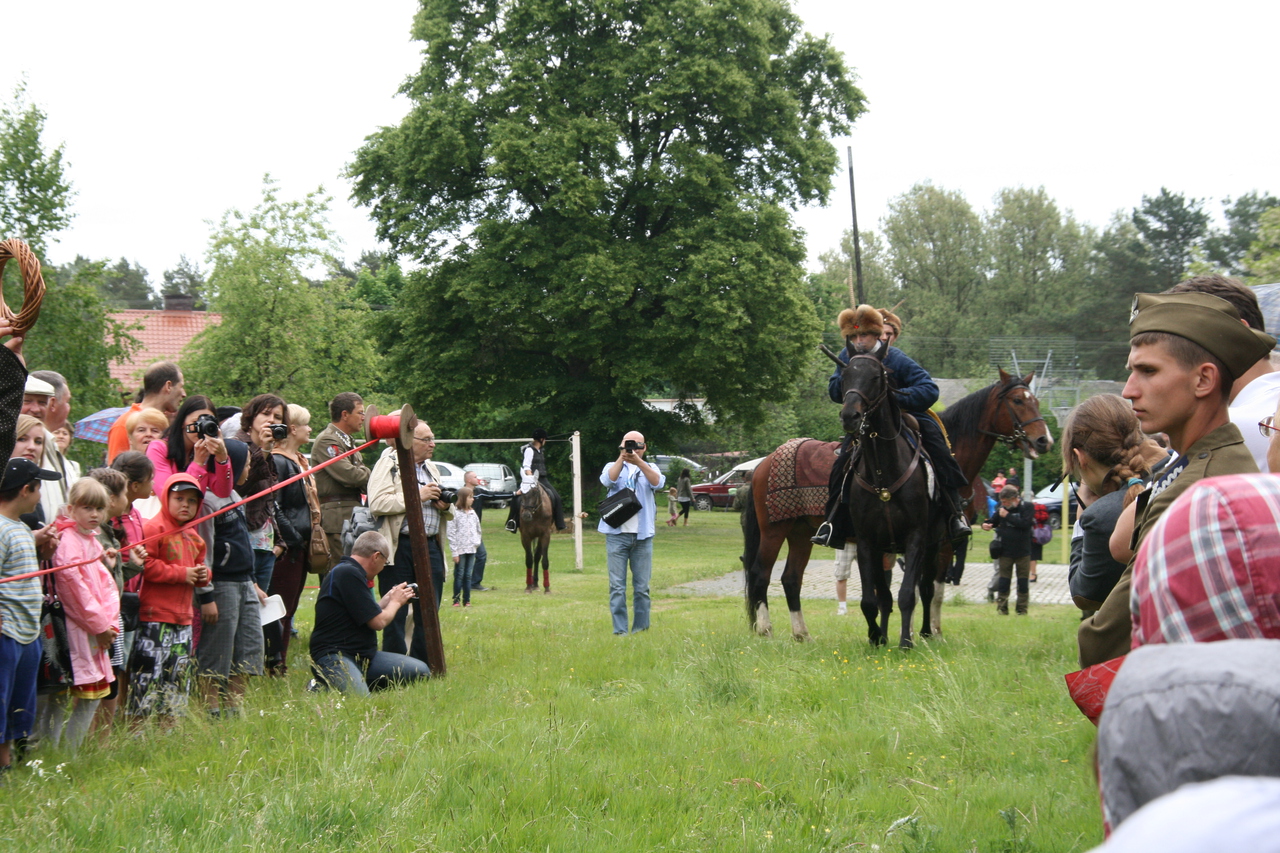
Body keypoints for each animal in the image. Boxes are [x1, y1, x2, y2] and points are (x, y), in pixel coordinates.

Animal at [742, 366, 1049, 637]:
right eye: (1018, 400)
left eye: (1036, 400)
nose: (1044, 440)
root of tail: (762, 464)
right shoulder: (934, 542)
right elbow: (919, 590)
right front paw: (922, 632)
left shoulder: (933, 541)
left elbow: (925, 590)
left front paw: (922, 631)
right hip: (774, 531)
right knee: (760, 574)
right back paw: (765, 628)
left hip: (800, 533)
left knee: (791, 579)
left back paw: (801, 633)